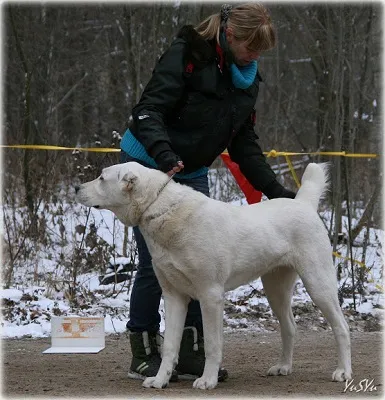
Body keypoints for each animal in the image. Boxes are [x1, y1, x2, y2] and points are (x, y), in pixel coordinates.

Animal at [75, 161, 352, 390]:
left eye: (102, 178)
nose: (76, 187)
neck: (160, 208)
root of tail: (303, 203)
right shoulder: (174, 297)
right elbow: (170, 346)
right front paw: (161, 380)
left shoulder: (210, 296)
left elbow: (212, 344)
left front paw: (207, 380)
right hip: (276, 289)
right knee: (290, 327)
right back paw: (284, 367)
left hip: (318, 284)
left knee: (341, 327)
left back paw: (343, 372)